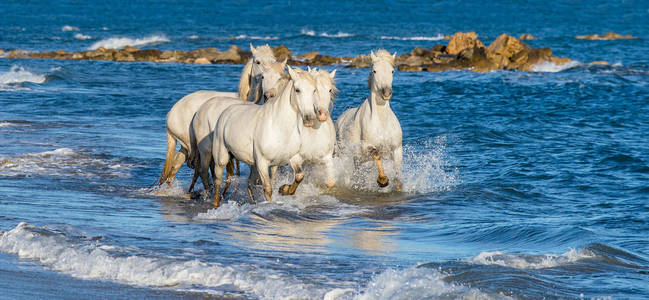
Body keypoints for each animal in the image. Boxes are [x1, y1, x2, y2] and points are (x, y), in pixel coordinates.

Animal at [154, 44, 276, 188]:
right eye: (258, 62)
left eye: (274, 61)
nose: (270, 93)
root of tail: (171, 112)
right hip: (194, 147)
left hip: (186, 146)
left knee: (175, 166)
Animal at [189, 59, 288, 193]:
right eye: (263, 77)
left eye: (280, 77)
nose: (268, 95)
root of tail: (199, 110)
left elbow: (272, 174)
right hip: (206, 150)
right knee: (204, 172)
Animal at [213, 66, 318, 206]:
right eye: (297, 90)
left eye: (314, 90)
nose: (309, 118)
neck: (280, 128)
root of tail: (226, 113)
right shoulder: (263, 163)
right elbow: (268, 189)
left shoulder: (292, 158)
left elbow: (299, 176)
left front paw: (284, 189)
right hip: (221, 159)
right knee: (218, 181)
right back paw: (215, 203)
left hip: (253, 165)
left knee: (250, 183)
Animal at [336, 49, 402, 190]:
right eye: (374, 71)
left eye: (392, 71)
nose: (386, 93)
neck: (382, 122)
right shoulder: (367, 147)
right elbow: (376, 154)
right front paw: (382, 180)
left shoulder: (397, 149)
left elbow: (397, 175)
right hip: (346, 156)